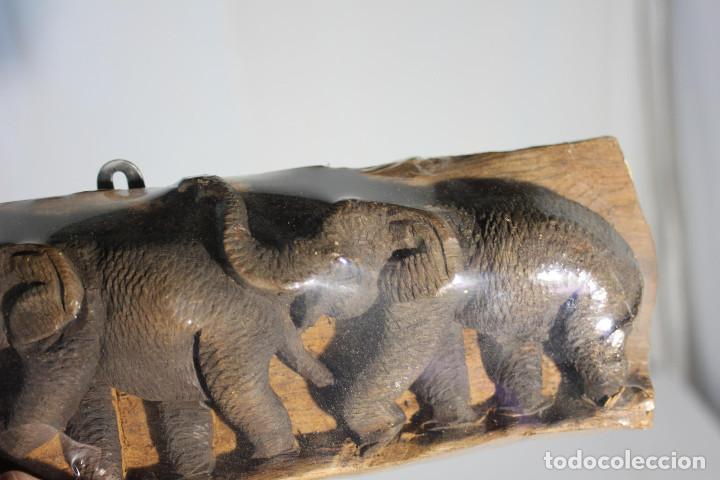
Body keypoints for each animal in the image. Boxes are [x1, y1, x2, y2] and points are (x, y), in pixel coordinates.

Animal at [295, 178, 643, 452]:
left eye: (340, 266)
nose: (299, 319)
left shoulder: (421, 290)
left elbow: (409, 352)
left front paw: (380, 440)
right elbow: (438, 356)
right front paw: (449, 430)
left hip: (592, 297)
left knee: (583, 343)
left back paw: (605, 402)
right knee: (515, 345)